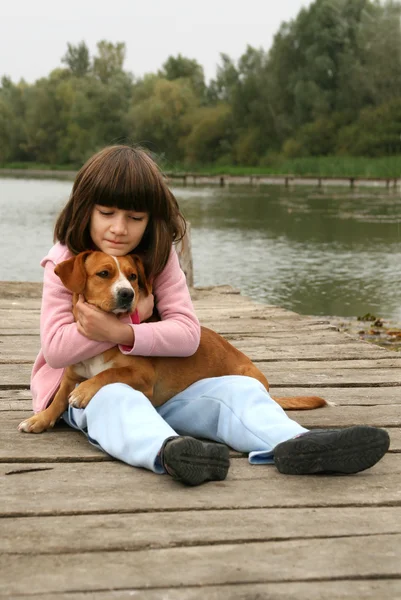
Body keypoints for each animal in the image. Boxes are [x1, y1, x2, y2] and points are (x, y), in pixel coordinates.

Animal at [18, 251, 326, 434]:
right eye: (104, 273)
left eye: (133, 276)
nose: (128, 294)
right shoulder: (71, 373)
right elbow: (58, 397)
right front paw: (40, 419)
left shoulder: (142, 376)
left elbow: (109, 373)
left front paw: (84, 392)